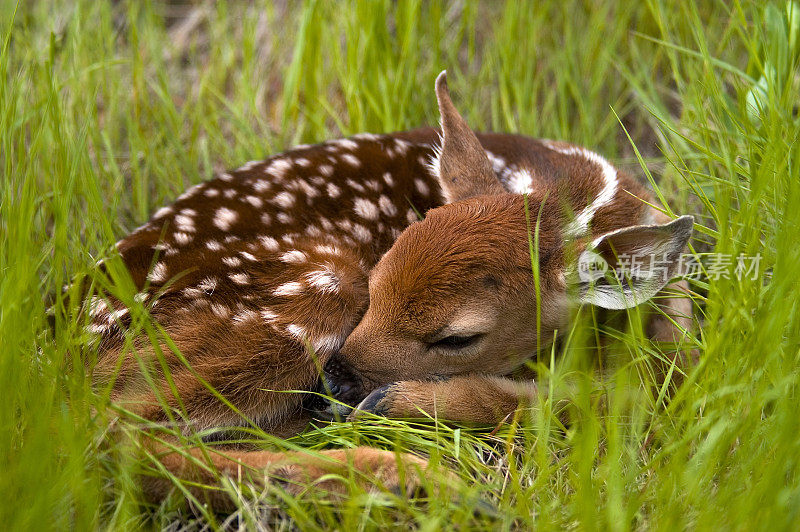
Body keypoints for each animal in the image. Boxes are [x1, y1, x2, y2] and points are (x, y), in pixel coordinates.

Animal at [86, 70, 692, 508]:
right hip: (304, 293)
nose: (334, 382)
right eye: (376, 284)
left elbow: (636, 391)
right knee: (111, 434)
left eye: (457, 338)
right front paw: (403, 408)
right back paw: (418, 482)